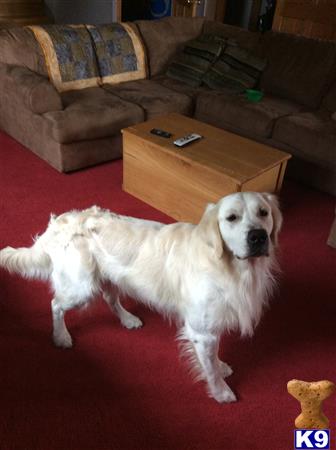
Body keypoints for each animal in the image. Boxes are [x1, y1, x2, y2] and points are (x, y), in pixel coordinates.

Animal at [0, 192, 282, 402]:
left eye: (263, 213)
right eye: (231, 218)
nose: (258, 237)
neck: (230, 267)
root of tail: (60, 222)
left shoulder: (211, 324)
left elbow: (214, 358)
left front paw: (221, 365)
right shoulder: (201, 331)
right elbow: (209, 368)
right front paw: (221, 391)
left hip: (109, 277)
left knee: (111, 299)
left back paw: (128, 319)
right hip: (81, 286)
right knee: (56, 304)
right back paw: (61, 336)